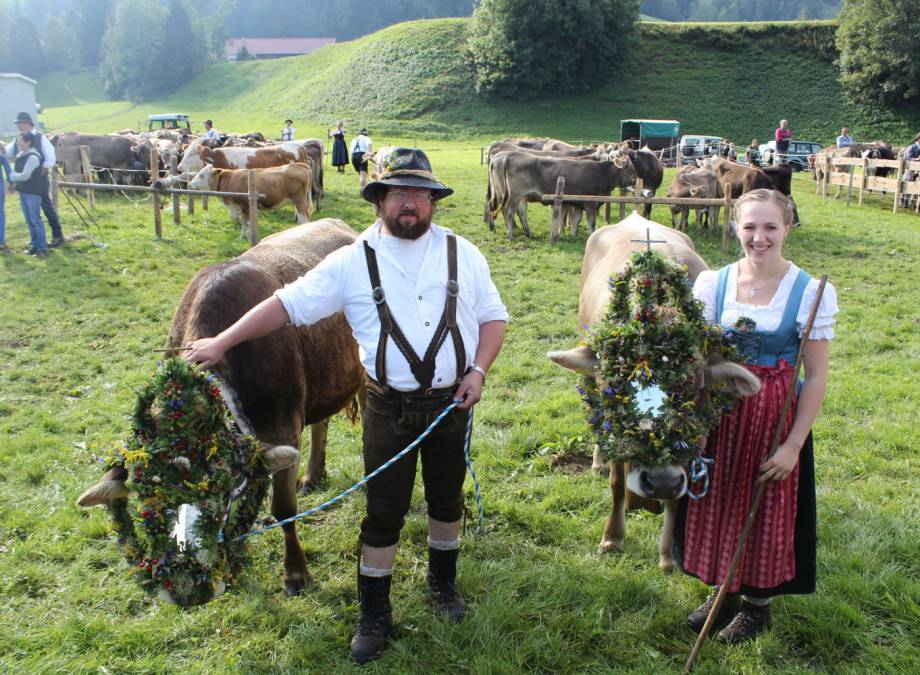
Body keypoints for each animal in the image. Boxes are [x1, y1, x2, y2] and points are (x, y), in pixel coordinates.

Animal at [77, 222, 366, 604]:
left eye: (222, 489)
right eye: (150, 500)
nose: (187, 583)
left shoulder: (283, 429)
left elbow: (283, 509)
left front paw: (296, 574)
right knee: (322, 422)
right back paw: (312, 475)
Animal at [188, 162, 316, 239]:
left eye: (202, 175)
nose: (189, 184)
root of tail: (300, 165)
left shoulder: (246, 206)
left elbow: (249, 223)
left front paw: (251, 237)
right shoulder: (239, 208)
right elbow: (243, 222)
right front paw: (242, 237)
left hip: (299, 201)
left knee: (304, 219)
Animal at [488, 152, 632, 244]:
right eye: (631, 169)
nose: (634, 181)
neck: (602, 173)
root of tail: (507, 156)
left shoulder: (578, 204)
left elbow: (575, 221)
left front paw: (573, 236)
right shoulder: (590, 204)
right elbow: (591, 223)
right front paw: (591, 236)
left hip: (517, 196)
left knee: (517, 212)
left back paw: (526, 233)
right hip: (514, 195)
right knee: (508, 211)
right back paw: (510, 235)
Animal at [548, 214, 760, 572]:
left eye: (694, 388)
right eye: (619, 386)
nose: (660, 482)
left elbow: (679, 498)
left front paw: (668, 555)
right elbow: (618, 485)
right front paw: (612, 537)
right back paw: (599, 462)